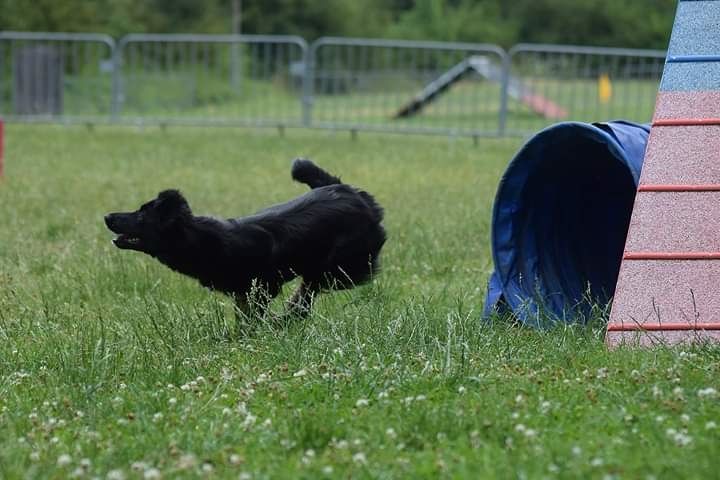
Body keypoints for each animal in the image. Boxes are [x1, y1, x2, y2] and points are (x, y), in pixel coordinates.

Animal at [104, 159, 386, 324]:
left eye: (141, 215)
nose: (107, 216)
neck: (203, 239)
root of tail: (351, 191)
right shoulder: (242, 292)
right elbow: (243, 316)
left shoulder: (263, 287)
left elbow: (253, 315)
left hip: (337, 266)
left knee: (308, 294)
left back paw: (286, 319)